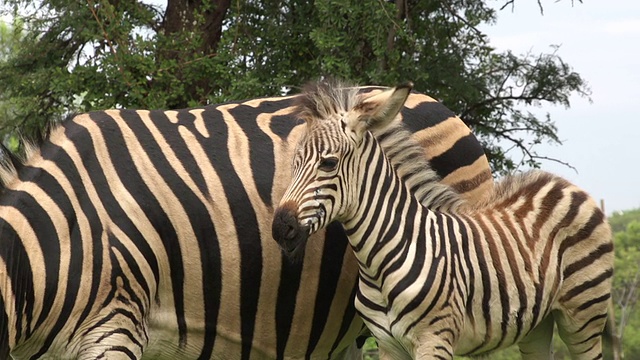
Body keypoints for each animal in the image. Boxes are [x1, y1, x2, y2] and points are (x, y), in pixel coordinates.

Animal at [274, 81, 616, 360]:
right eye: (295, 163)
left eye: (328, 163)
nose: (280, 228)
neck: (379, 261)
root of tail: (565, 184)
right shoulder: (388, 345)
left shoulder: (434, 339)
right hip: (538, 323)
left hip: (584, 314)